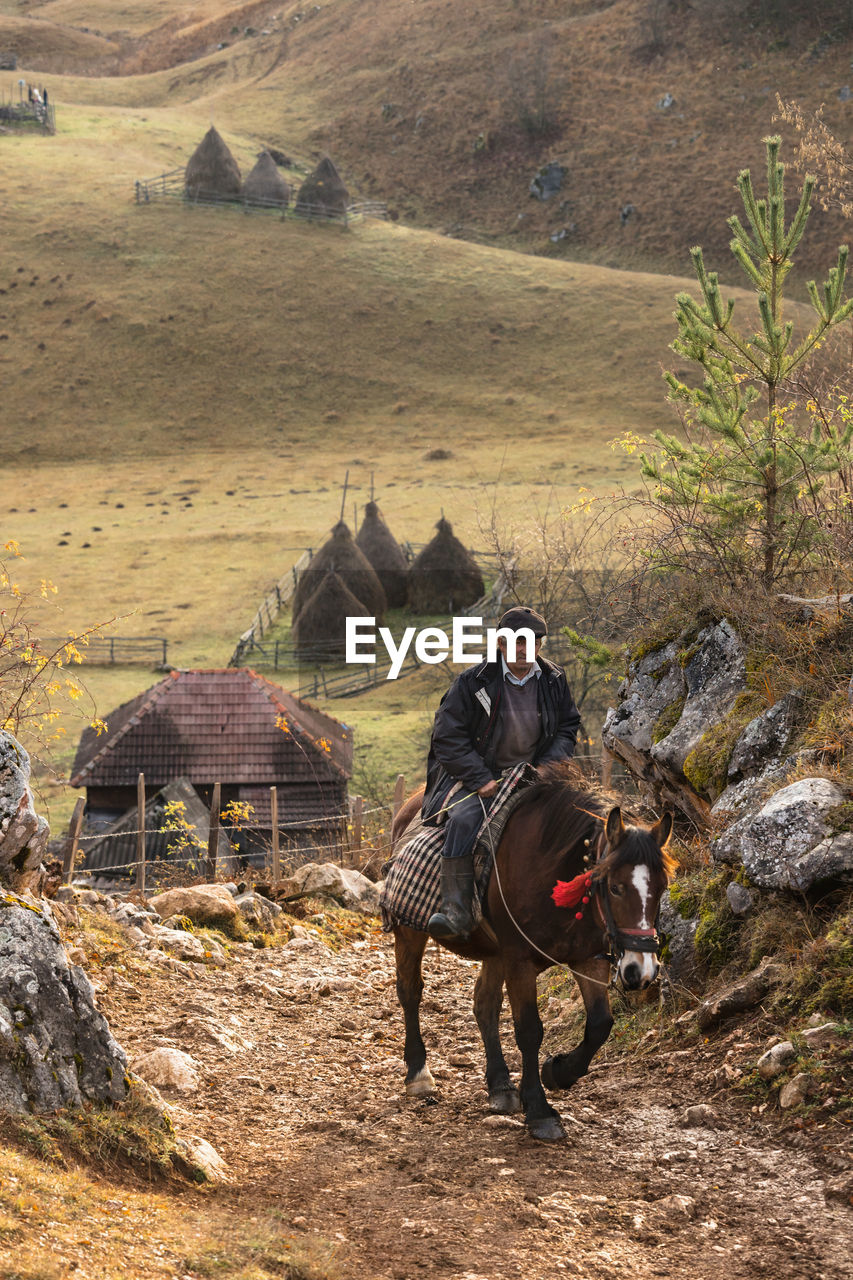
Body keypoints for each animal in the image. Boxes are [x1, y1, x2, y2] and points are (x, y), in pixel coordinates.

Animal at [389, 762, 676, 1146]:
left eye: (661, 887)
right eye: (614, 887)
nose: (639, 971)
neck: (550, 871)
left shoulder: (587, 959)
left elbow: (600, 1024)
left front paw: (558, 1072)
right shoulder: (520, 962)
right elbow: (529, 1031)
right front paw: (539, 1111)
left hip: (494, 953)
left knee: (484, 1004)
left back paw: (500, 1085)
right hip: (410, 932)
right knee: (410, 991)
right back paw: (419, 1073)